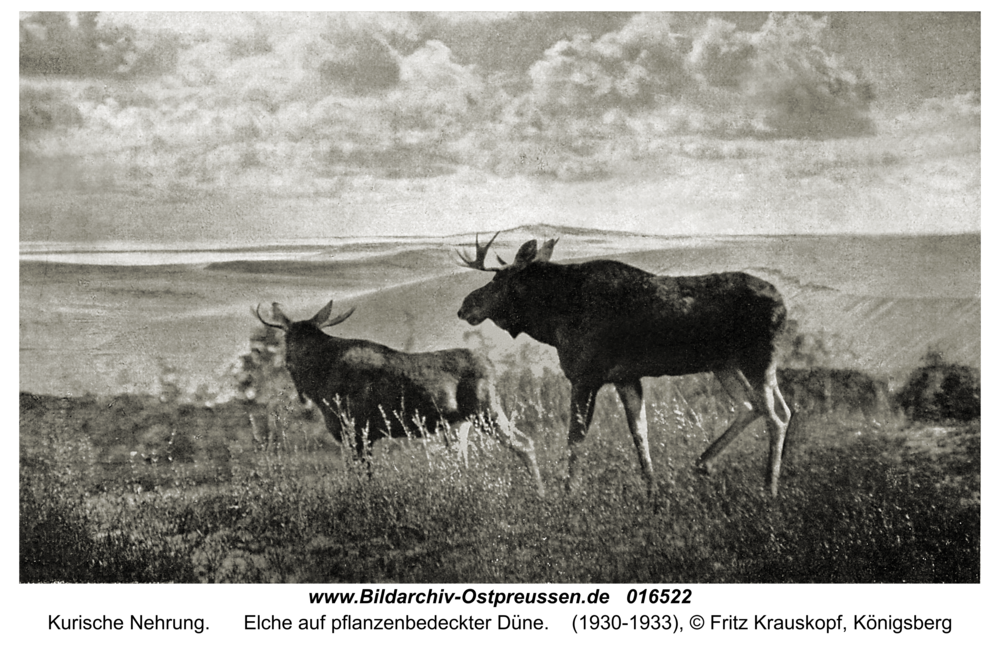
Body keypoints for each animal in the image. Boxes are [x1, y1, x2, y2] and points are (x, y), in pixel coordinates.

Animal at [254, 300, 544, 496]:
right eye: (289, 338)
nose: (290, 363)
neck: (321, 379)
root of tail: (493, 367)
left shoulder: (358, 429)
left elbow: (364, 476)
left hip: (486, 410)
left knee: (525, 442)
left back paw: (539, 494)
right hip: (461, 423)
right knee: (465, 460)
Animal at [458, 235, 792, 498]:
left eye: (498, 279)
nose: (464, 306)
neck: (552, 320)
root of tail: (783, 305)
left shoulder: (586, 376)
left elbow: (575, 437)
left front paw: (568, 492)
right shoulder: (625, 377)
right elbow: (639, 433)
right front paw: (652, 489)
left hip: (756, 359)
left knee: (776, 417)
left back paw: (769, 488)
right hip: (726, 364)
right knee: (758, 407)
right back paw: (703, 463)